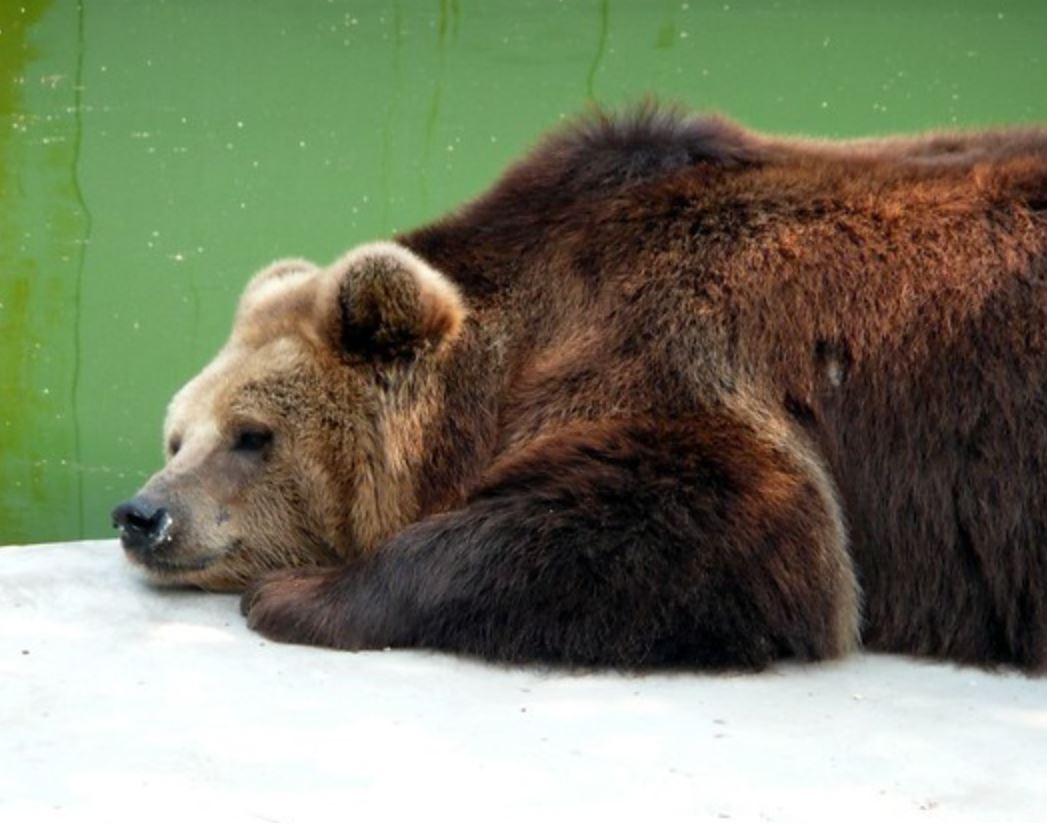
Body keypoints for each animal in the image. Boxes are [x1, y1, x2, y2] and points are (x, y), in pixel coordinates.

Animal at [112, 106, 1047, 671]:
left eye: (252, 434)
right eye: (177, 436)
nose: (144, 512)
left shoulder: (672, 337)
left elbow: (711, 513)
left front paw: (295, 594)